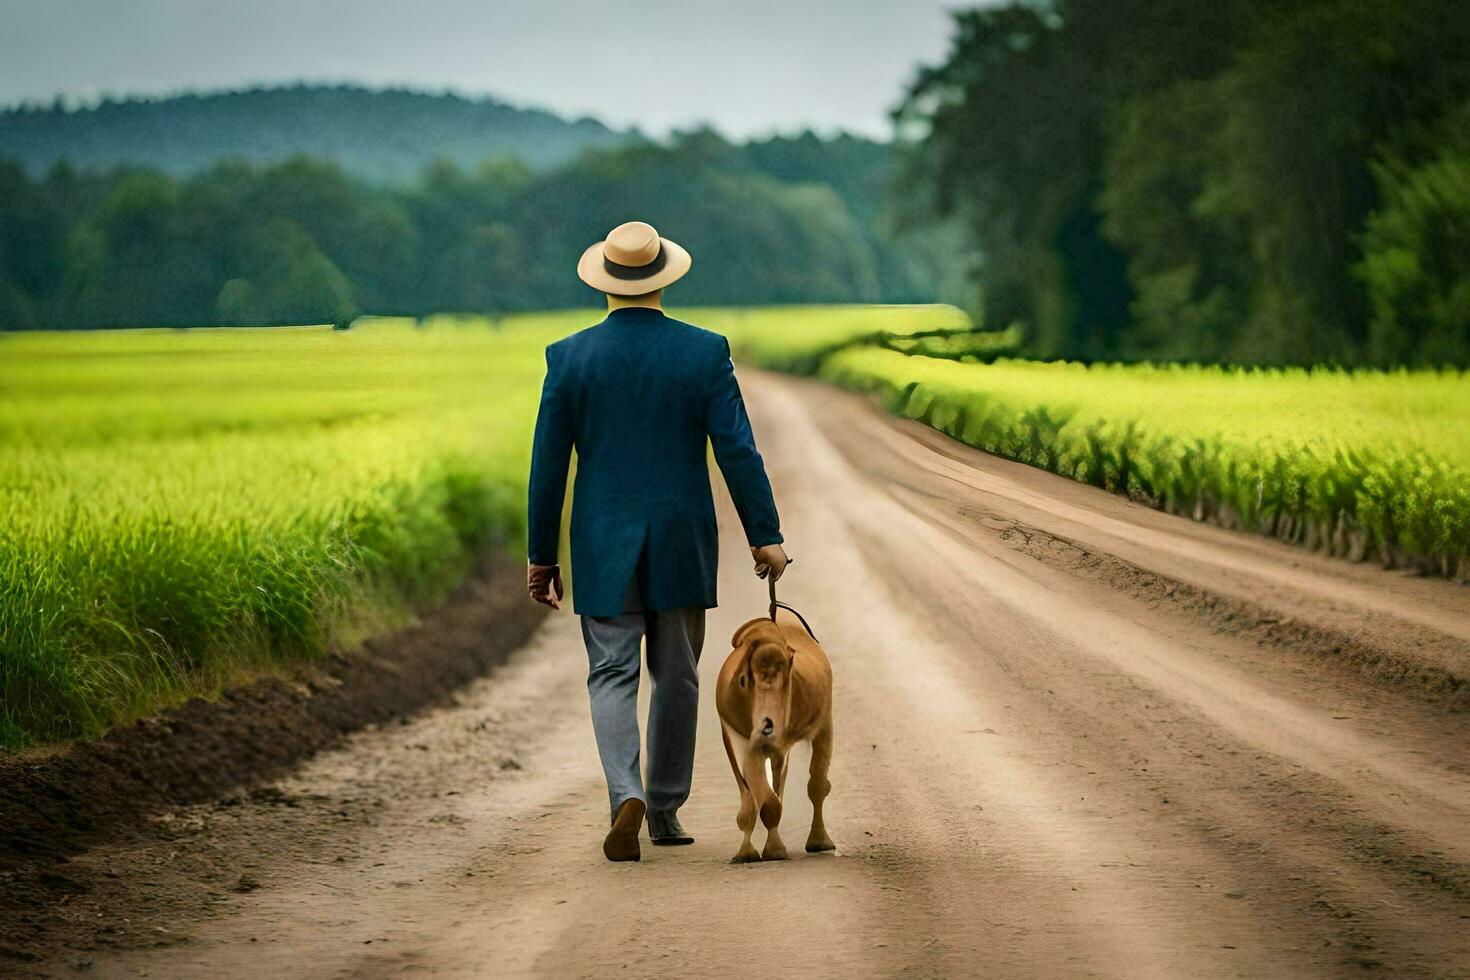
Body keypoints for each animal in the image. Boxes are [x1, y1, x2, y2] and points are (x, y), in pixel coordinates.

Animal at [714, 617, 834, 863]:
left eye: (785, 682)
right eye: (743, 680)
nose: (767, 725)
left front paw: (774, 848)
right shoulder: (737, 738)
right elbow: (756, 799)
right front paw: (747, 851)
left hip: (824, 725)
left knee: (817, 785)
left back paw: (820, 840)